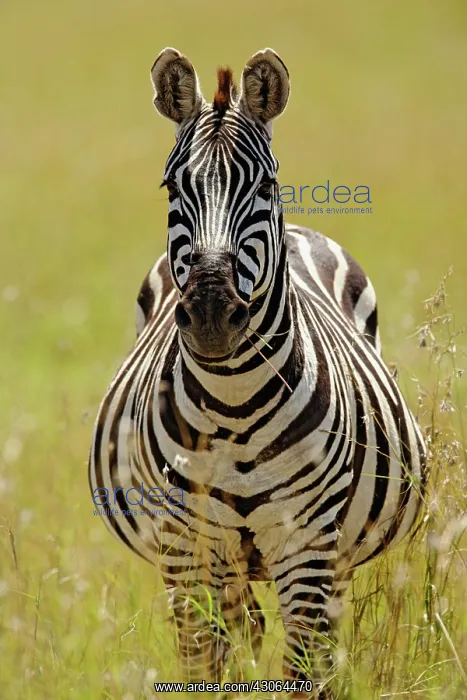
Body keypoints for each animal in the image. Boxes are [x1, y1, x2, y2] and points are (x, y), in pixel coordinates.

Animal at [89, 48, 426, 698]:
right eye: (172, 186)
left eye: (266, 185)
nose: (212, 313)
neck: (234, 401)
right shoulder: (186, 550)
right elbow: (202, 665)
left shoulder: (306, 545)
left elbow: (302, 670)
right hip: (230, 563)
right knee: (241, 637)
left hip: (330, 557)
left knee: (319, 650)